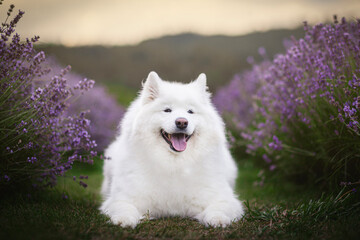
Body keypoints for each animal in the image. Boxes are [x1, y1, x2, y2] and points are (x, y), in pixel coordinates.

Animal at [100, 71, 243, 227]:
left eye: (190, 111)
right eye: (167, 110)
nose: (182, 122)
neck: (174, 164)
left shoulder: (223, 198)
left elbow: (218, 208)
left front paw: (218, 219)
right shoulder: (121, 198)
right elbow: (124, 207)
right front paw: (123, 220)